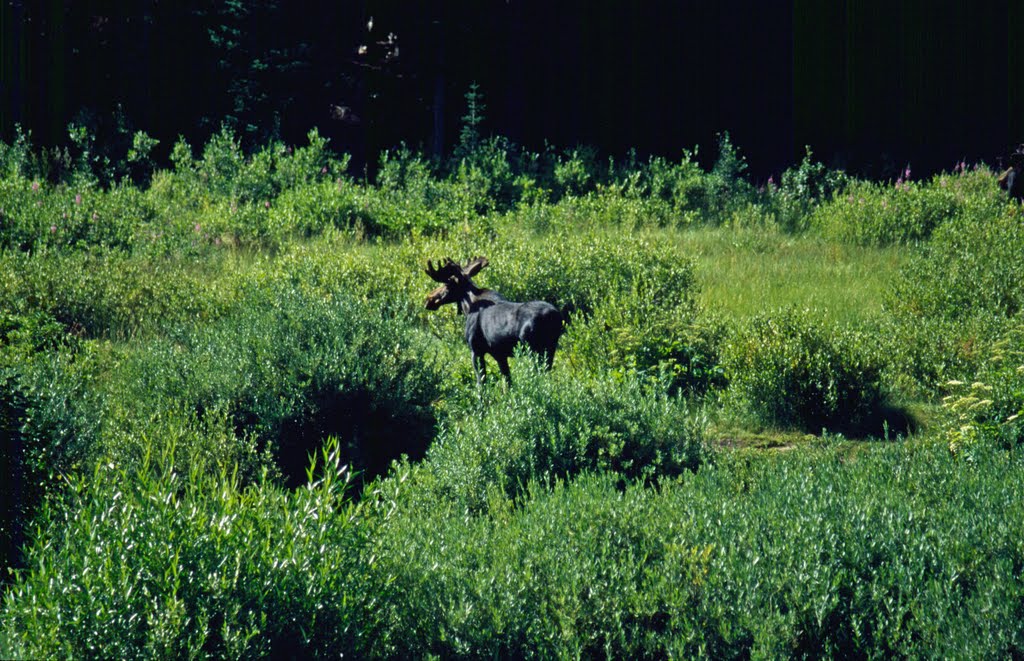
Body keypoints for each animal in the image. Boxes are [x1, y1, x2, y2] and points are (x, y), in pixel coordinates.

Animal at [425, 257, 569, 386]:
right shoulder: (499, 354)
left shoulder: (475, 350)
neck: (468, 307)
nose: (428, 299)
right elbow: (507, 381)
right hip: (551, 348)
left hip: (534, 349)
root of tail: (556, 316)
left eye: (447, 284)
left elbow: (481, 383)